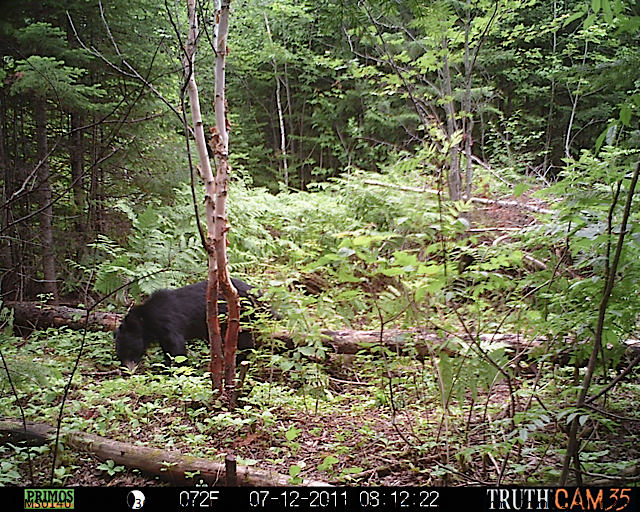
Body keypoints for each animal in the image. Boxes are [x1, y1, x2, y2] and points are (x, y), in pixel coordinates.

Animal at [115, 278, 270, 370]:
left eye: (128, 350)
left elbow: (176, 349)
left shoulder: (169, 323)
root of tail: (259, 294)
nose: (127, 370)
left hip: (244, 317)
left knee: (246, 342)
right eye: (119, 355)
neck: (146, 319)